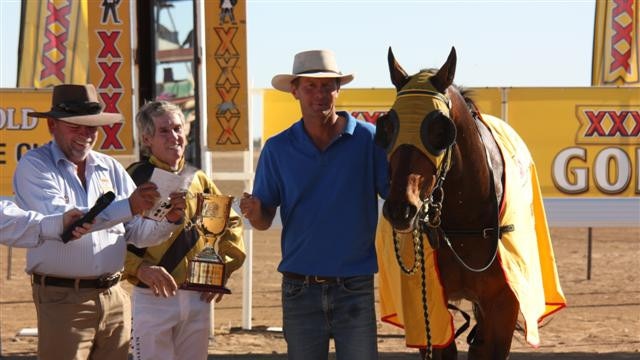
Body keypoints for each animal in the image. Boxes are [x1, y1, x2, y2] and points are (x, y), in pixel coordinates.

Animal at [376, 47, 520, 360]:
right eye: (388, 126)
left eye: (440, 130)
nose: (400, 208)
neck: (465, 221)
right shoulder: (429, 307)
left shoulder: (502, 306)